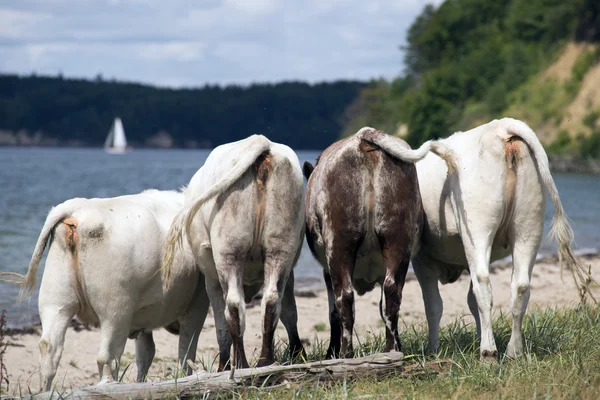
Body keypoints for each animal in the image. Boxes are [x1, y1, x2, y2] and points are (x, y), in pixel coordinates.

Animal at [0, 189, 210, 390]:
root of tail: (79, 207)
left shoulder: (146, 319)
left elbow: (146, 354)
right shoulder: (198, 305)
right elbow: (186, 351)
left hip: (56, 301)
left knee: (49, 350)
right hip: (116, 310)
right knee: (107, 357)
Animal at [163, 134, 304, 368]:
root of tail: (259, 141)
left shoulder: (211, 279)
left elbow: (221, 325)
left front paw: (225, 365)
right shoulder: (289, 270)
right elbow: (290, 312)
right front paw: (298, 352)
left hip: (228, 252)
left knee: (233, 306)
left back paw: (240, 366)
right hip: (281, 246)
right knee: (271, 300)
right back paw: (265, 361)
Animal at [302, 126, 458, 358]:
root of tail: (363, 136)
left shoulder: (326, 270)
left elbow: (333, 313)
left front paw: (331, 352)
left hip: (339, 243)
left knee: (344, 298)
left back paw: (346, 354)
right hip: (397, 237)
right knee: (392, 293)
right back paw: (391, 350)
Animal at [410, 116, 592, 362]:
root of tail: (501, 126)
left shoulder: (422, 259)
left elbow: (433, 305)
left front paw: (433, 351)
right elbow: (469, 301)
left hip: (478, 228)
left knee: (483, 285)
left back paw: (488, 353)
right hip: (529, 225)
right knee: (520, 286)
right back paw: (513, 352)